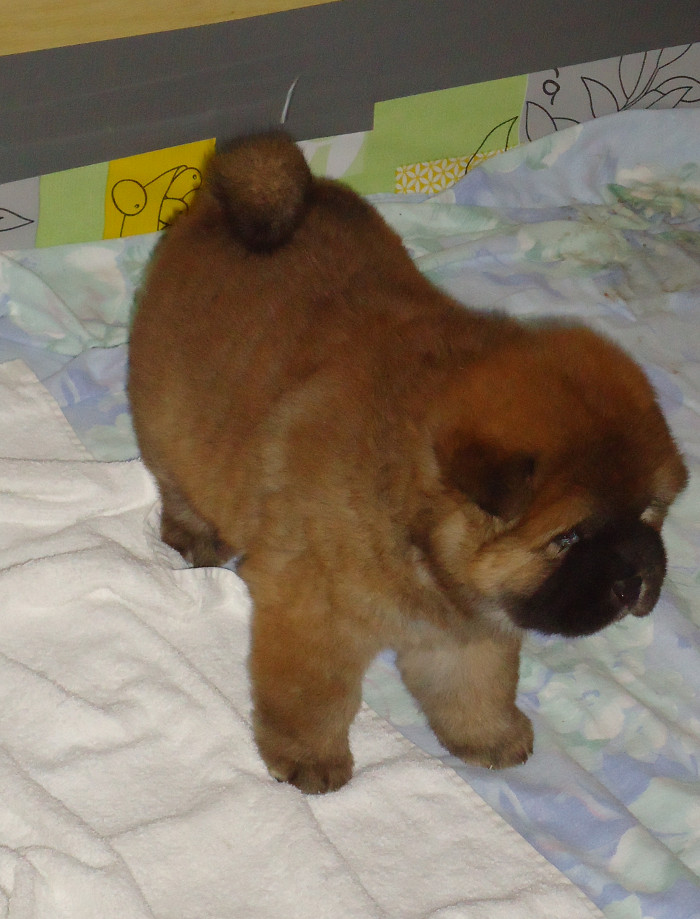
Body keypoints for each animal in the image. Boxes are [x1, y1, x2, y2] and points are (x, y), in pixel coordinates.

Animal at [128, 131, 687, 793]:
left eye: (650, 514)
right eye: (568, 538)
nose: (637, 577)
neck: (412, 513)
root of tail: (231, 194)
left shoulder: (469, 630)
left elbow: (478, 687)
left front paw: (490, 737)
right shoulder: (314, 612)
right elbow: (313, 697)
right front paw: (311, 760)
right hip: (170, 424)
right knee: (177, 482)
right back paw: (195, 537)